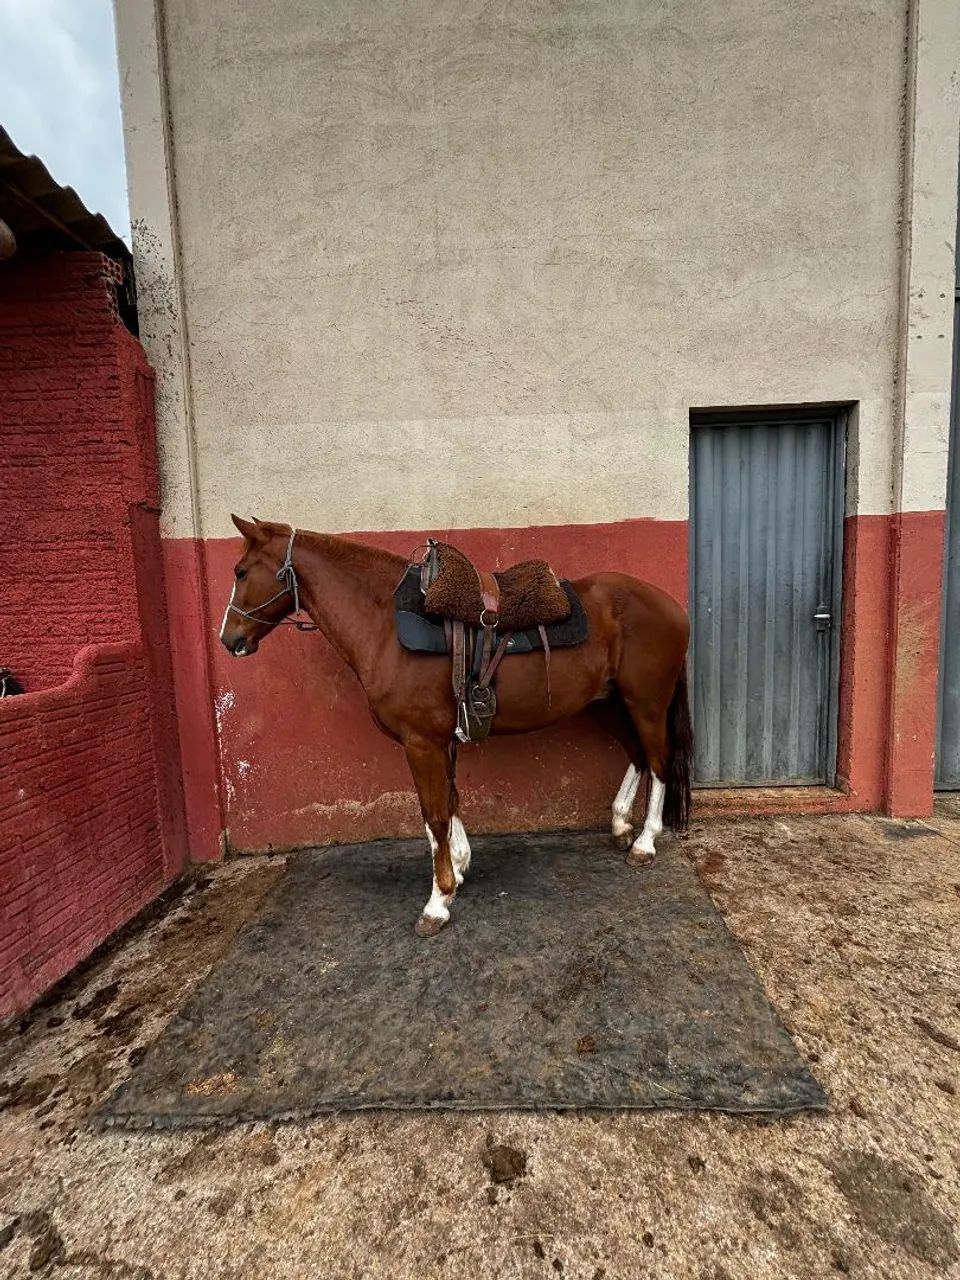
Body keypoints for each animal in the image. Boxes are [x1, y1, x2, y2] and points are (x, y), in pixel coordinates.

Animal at [219, 516, 693, 936]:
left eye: (241, 571)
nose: (229, 640)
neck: (385, 623)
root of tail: (671, 605)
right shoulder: (441, 740)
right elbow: (450, 801)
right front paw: (461, 866)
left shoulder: (421, 742)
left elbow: (433, 813)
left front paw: (438, 901)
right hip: (607, 704)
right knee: (638, 756)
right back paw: (620, 825)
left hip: (646, 704)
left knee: (659, 761)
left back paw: (645, 842)